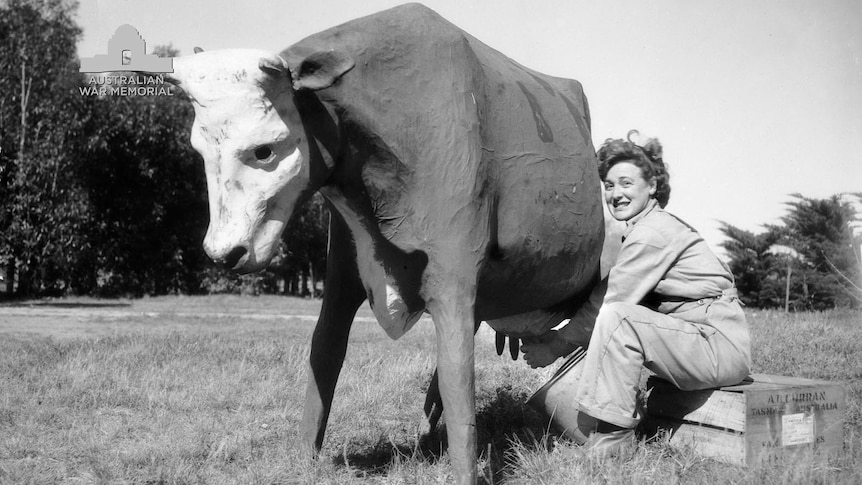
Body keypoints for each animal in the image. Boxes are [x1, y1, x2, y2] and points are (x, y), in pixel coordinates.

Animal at [164, 4, 608, 484]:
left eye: (264, 149)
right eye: (198, 149)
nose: (223, 252)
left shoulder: (453, 279)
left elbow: (459, 380)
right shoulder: (343, 272)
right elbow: (325, 353)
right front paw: (303, 462)